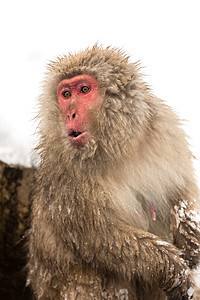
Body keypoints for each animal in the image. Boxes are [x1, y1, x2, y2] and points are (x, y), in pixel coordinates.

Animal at [27, 45, 200, 298]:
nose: (70, 113)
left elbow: (183, 187)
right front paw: (172, 269)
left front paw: (191, 237)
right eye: (66, 95)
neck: (116, 149)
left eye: (84, 90)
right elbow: (99, 237)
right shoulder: (64, 174)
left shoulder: (165, 131)